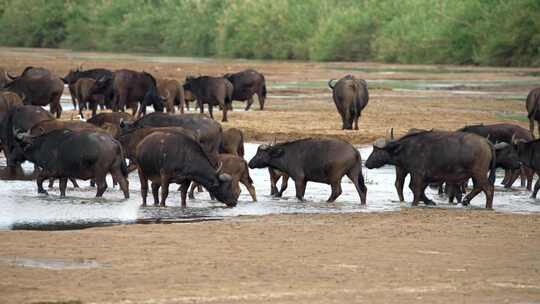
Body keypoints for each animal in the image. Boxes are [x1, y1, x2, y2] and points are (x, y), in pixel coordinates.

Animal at [364, 131, 496, 209]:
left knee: (488, 188)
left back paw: (487, 206)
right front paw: (429, 202)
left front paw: (414, 204)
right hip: (475, 174)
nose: (366, 163)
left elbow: (415, 189)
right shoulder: (425, 176)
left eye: (377, 150)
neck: (406, 148)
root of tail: (486, 142)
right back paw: (465, 200)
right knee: (479, 187)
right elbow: (418, 190)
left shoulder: (417, 174)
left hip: (479, 172)